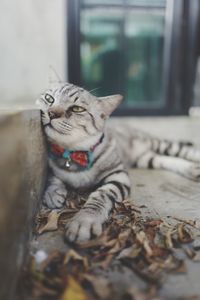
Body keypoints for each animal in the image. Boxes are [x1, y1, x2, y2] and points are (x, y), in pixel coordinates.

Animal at [36, 83, 200, 243]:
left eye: (77, 109)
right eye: (49, 98)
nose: (51, 113)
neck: (74, 153)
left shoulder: (118, 175)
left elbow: (100, 196)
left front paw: (85, 220)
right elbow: (52, 175)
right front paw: (53, 192)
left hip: (158, 143)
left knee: (182, 150)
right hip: (145, 159)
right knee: (163, 159)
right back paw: (191, 169)